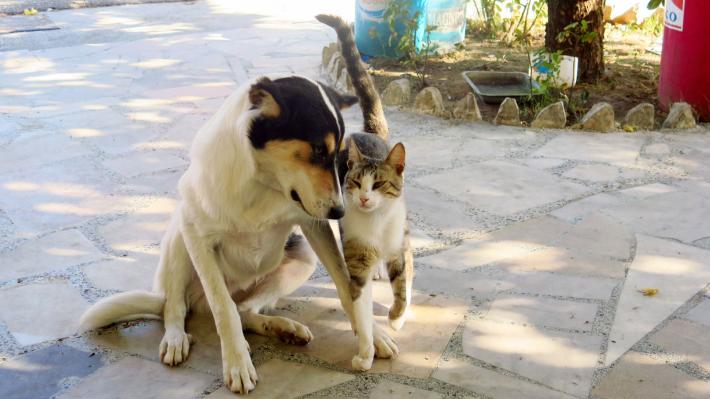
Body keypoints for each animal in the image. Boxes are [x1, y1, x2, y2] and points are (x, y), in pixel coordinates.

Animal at [80, 76, 400, 396]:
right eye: (319, 150)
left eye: (339, 157)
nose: (339, 212)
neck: (262, 183)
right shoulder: (197, 235)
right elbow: (224, 309)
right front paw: (236, 362)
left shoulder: (314, 226)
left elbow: (347, 288)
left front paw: (373, 335)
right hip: (180, 235)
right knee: (178, 305)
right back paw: (175, 336)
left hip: (303, 256)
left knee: (245, 309)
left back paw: (283, 328)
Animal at [318, 14, 414, 372]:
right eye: (356, 183)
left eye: (379, 185)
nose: (363, 198)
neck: (377, 225)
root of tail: (368, 133)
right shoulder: (356, 261)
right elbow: (358, 306)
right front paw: (366, 353)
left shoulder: (398, 247)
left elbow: (402, 284)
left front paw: (397, 318)